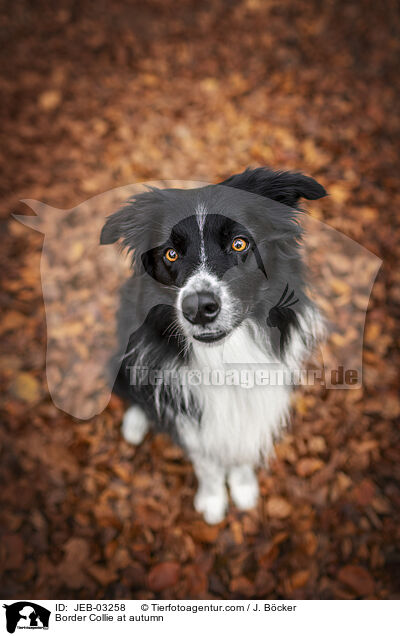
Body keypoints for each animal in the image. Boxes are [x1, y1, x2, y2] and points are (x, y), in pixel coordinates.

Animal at [99, 168, 324, 520]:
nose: (197, 308)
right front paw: (213, 499)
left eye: (239, 243)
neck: (226, 357)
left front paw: (243, 489)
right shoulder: (192, 411)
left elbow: (243, 449)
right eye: (171, 253)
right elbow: (207, 463)